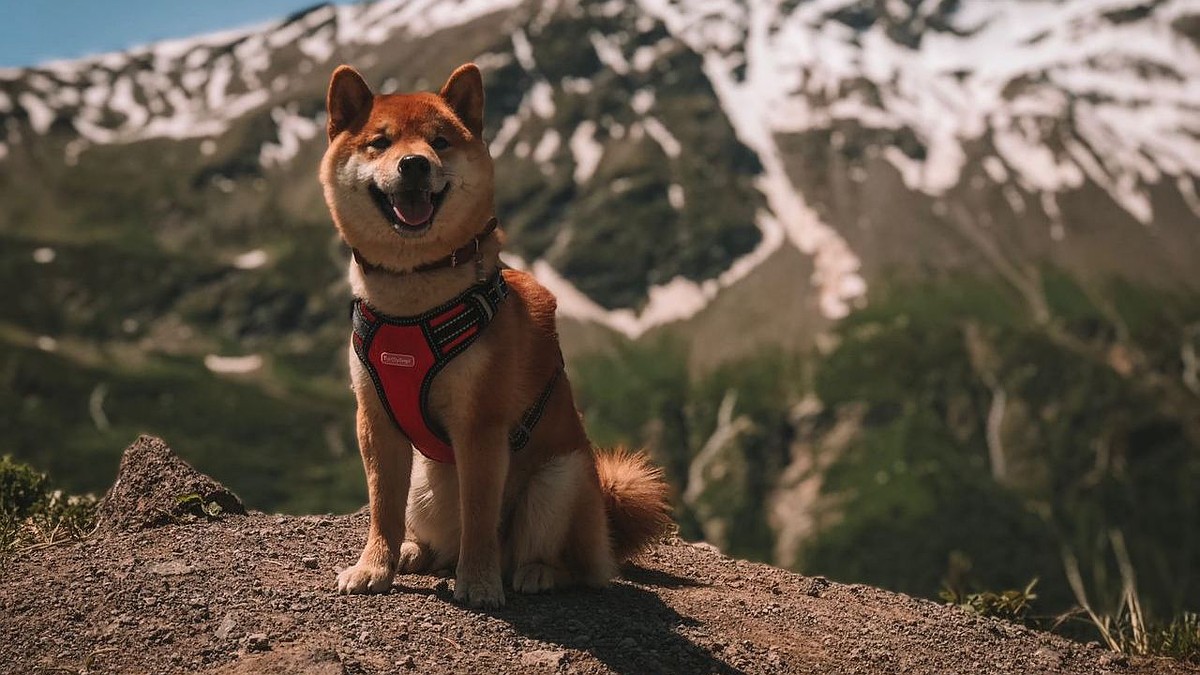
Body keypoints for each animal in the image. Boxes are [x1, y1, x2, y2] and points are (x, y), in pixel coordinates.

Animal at [319, 61, 676, 605]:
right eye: (380, 142)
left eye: (440, 142)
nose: (414, 165)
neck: (413, 303)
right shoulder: (376, 420)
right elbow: (383, 510)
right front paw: (374, 567)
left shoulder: (480, 427)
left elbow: (480, 517)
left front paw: (481, 582)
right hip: (425, 482)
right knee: (439, 540)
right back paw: (415, 552)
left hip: (560, 479)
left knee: (572, 564)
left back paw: (536, 572)